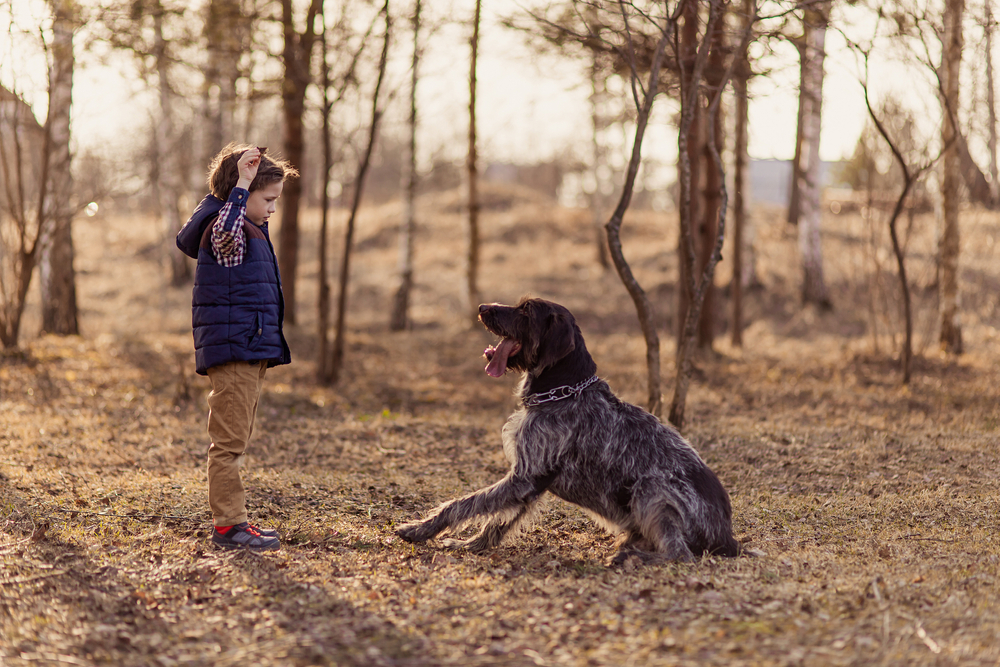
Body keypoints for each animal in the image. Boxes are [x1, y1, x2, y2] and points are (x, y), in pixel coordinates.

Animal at [394, 298, 740, 564]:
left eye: (525, 311)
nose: (482, 307)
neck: (563, 391)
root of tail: (728, 538)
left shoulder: (524, 478)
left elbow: (465, 504)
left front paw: (419, 529)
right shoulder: (531, 483)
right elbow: (496, 522)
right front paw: (470, 546)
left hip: (652, 491)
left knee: (680, 555)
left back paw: (630, 557)